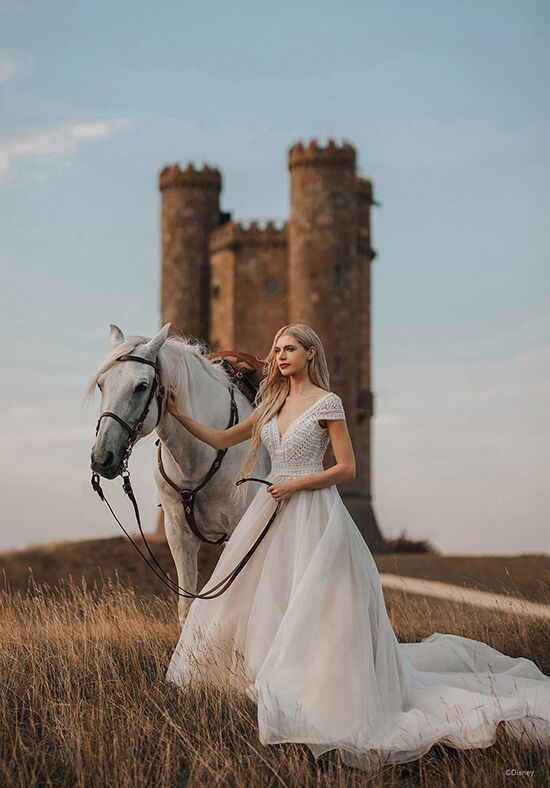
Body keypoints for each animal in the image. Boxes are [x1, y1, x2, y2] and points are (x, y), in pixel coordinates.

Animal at [87, 324, 270, 624]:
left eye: (142, 386)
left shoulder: (243, 530)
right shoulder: (179, 535)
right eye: (102, 384)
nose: (102, 458)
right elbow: (187, 608)